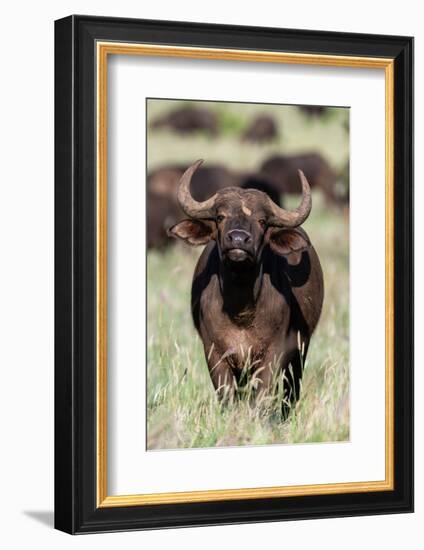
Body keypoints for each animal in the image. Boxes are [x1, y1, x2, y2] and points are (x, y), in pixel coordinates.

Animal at [167, 158, 322, 406]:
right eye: (220, 217)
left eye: (262, 221)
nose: (238, 239)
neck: (241, 309)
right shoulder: (215, 354)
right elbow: (228, 397)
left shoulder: (273, 355)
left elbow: (262, 397)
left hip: (300, 351)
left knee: (291, 392)